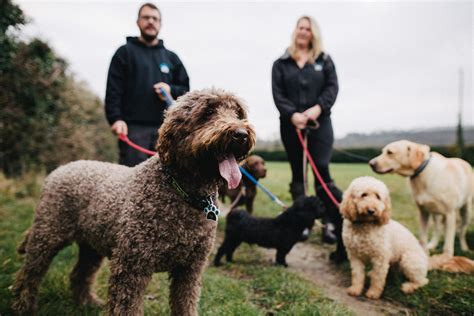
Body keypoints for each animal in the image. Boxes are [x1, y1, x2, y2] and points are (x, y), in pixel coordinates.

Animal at [11, 89, 256, 316]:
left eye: (238, 113)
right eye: (207, 113)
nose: (241, 134)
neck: (180, 192)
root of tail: (61, 168)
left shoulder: (189, 271)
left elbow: (185, 304)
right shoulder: (132, 267)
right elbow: (127, 306)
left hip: (91, 244)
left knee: (80, 273)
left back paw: (87, 302)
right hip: (48, 234)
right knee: (29, 274)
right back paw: (23, 306)